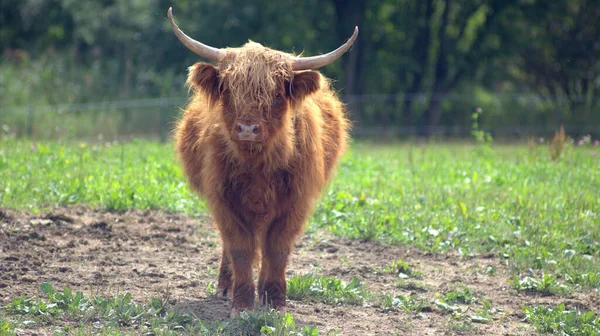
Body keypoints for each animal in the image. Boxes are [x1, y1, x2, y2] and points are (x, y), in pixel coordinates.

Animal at [168, 8, 356, 318]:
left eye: (277, 94)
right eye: (229, 91)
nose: (247, 128)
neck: (257, 165)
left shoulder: (295, 202)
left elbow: (277, 249)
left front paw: (275, 301)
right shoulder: (225, 200)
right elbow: (240, 248)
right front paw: (242, 304)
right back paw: (225, 286)